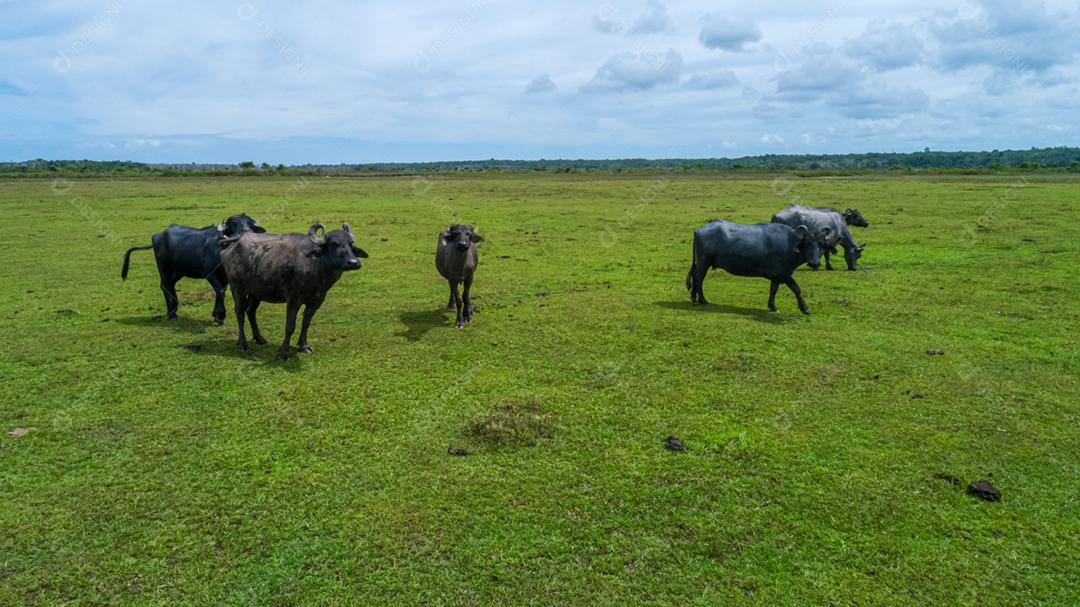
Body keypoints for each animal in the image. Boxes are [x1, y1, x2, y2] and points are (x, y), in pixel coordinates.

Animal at [120, 211, 265, 319]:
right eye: (233, 224)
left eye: (249, 223)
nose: (245, 232)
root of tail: (157, 236)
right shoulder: (209, 274)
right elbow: (220, 291)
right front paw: (220, 315)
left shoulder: (225, 277)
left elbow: (220, 291)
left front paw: (216, 313)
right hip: (164, 268)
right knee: (164, 285)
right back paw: (171, 313)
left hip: (178, 270)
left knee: (170, 284)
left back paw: (175, 308)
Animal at [221, 222, 369, 358]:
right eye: (335, 244)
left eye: (350, 244)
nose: (353, 263)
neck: (315, 266)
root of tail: (236, 241)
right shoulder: (293, 300)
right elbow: (290, 325)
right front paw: (284, 352)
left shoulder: (316, 301)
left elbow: (306, 323)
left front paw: (304, 345)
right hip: (237, 286)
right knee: (239, 312)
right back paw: (243, 343)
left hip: (256, 292)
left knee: (250, 311)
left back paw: (259, 338)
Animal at [686, 218, 829, 311]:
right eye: (807, 243)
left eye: (821, 245)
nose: (814, 263)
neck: (789, 244)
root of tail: (699, 229)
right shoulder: (784, 274)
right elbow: (796, 288)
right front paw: (805, 308)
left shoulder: (776, 276)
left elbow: (773, 290)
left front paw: (772, 306)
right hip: (704, 262)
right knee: (699, 278)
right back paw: (702, 300)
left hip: (701, 263)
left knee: (695, 276)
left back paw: (694, 297)